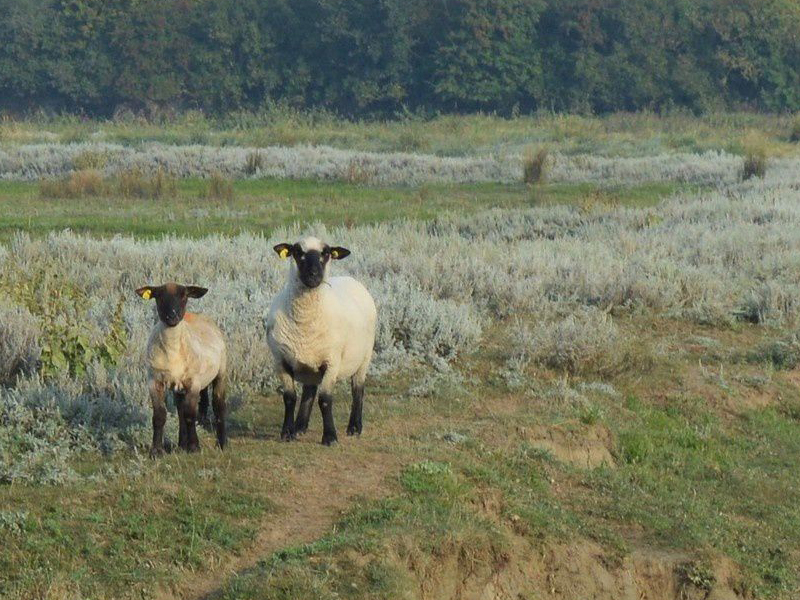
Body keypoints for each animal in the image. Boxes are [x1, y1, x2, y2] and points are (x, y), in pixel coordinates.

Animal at [135, 284, 228, 458]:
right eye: (159, 296)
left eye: (184, 296)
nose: (172, 316)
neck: (173, 352)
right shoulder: (154, 381)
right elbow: (159, 416)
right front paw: (156, 451)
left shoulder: (194, 383)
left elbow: (191, 415)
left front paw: (194, 447)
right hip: (178, 386)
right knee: (180, 411)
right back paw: (180, 444)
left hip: (221, 373)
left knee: (218, 405)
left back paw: (222, 444)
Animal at [266, 237, 378, 442]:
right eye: (297, 252)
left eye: (325, 253)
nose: (313, 275)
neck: (304, 322)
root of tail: (349, 279)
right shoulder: (280, 360)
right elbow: (289, 398)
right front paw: (287, 433)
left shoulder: (332, 362)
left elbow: (325, 399)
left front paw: (330, 437)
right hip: (311, 365)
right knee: (309, 391)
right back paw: (300, 426)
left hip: (364, 356)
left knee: (358, 389)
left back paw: (354, 427)